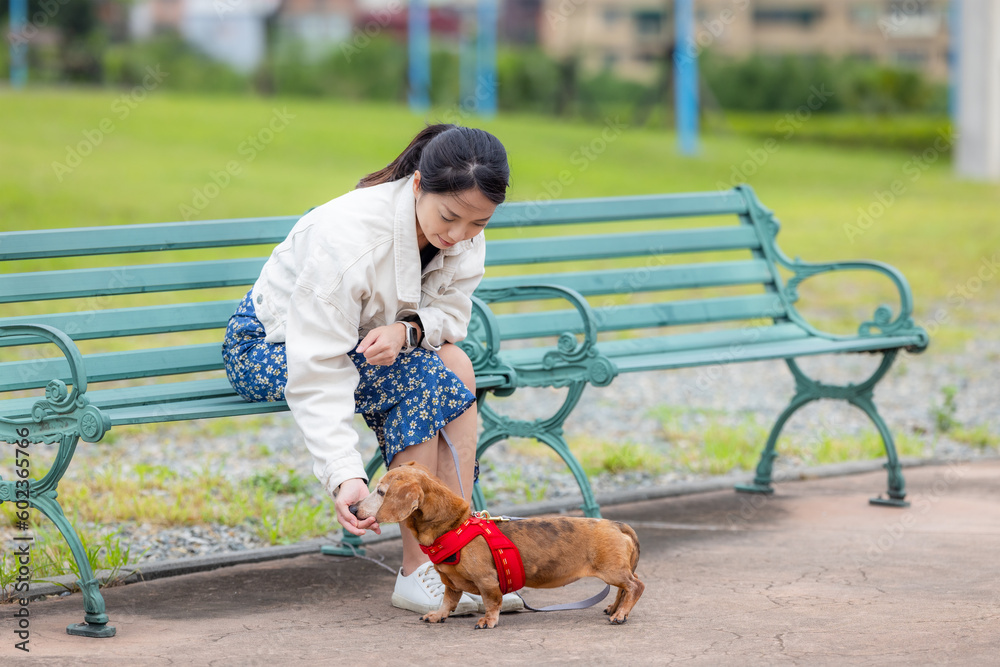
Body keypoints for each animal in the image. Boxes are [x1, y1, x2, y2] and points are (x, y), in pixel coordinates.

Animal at [352, 462, 644, 628]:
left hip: (612, 571)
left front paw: (488, 621)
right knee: (625, 587)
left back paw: (620, 615)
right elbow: (447, 602)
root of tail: (617, 524)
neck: (454, 526)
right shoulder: (450, 583)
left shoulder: (487, 580)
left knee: (635, 586)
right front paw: (437, 616)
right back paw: (615, 608)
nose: (353, 508)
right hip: (617, 571)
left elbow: (492, 602)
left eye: (381, 492)